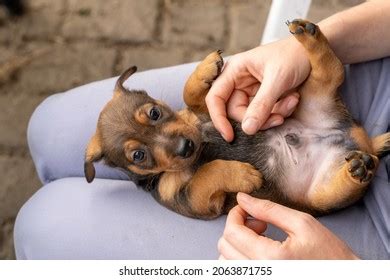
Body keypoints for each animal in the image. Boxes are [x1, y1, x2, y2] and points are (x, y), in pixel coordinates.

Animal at [84, 20, 388, 221]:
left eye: (155, 113)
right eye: (138, 155)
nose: (186, 147)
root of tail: (357, 137)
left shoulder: (209, 112)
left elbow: (191, 95)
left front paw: (205, 69)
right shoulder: (194, 200)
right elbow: (206, 174)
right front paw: (242, 175)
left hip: (315, 97)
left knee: (332, 70)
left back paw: (309, 35)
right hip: (321, 194)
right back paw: (359, 168)